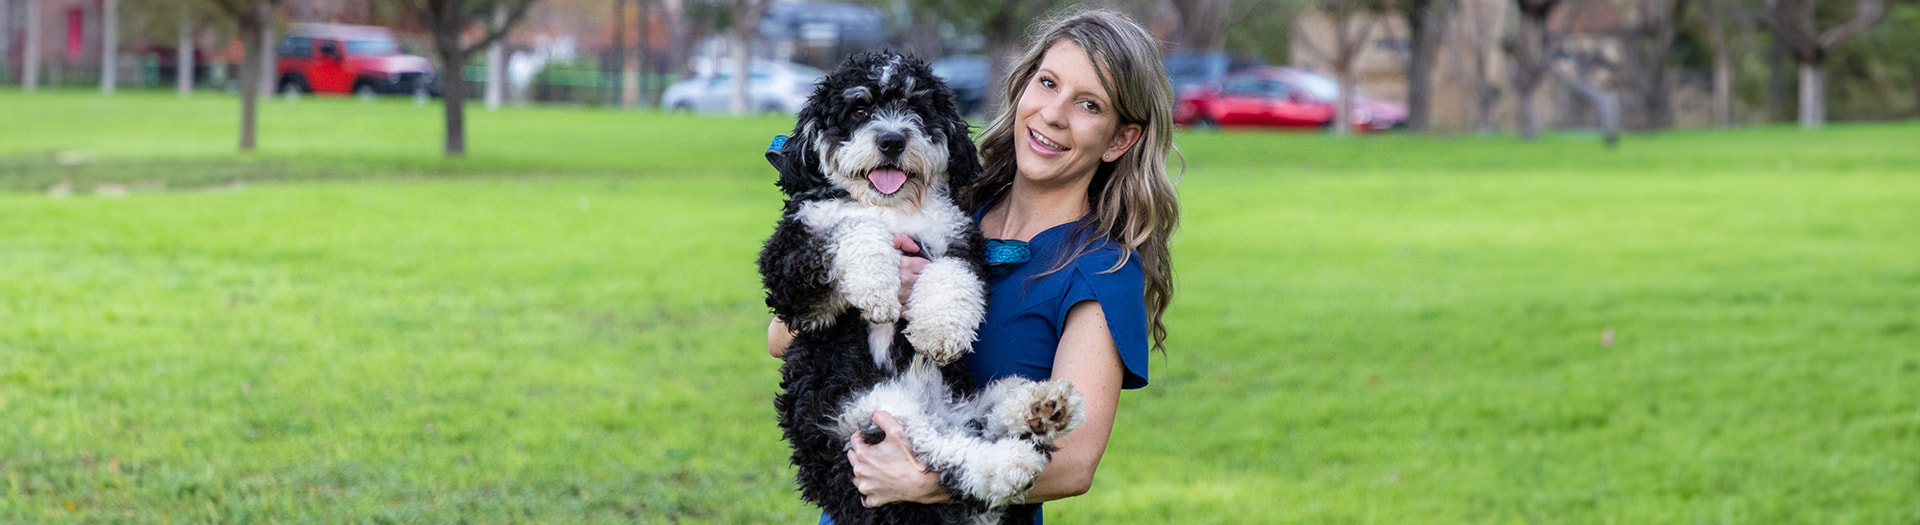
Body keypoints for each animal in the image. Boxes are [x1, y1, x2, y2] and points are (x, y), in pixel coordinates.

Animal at [764, 50, 1098, 523]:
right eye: (859, 109)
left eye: (917, 109)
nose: (891, 140)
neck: (893, 207)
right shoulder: (791, 272)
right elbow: (853, 228)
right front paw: (877, 289)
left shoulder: (959, 243)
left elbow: (950, 274)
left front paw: (940, 331)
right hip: (871, 415)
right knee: (954, 457)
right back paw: (1019, 451)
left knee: (982, 429)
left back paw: (1042, 410)